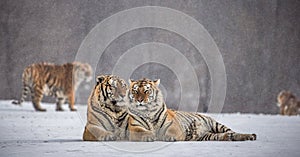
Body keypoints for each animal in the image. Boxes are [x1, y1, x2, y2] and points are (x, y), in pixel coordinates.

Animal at [127, 78, 256, 141]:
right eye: (135, 91)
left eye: (146, 91)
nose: (139, 100)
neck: (148, 113)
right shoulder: (134, 127)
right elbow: (142, 131)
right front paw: (149, 136)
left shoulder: (174, 125)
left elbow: (170, 131)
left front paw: (169, 137)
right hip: (208, 135)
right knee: (224, 135)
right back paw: (228, 137)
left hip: (216, 124)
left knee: (233, 132)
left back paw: (250, 136)